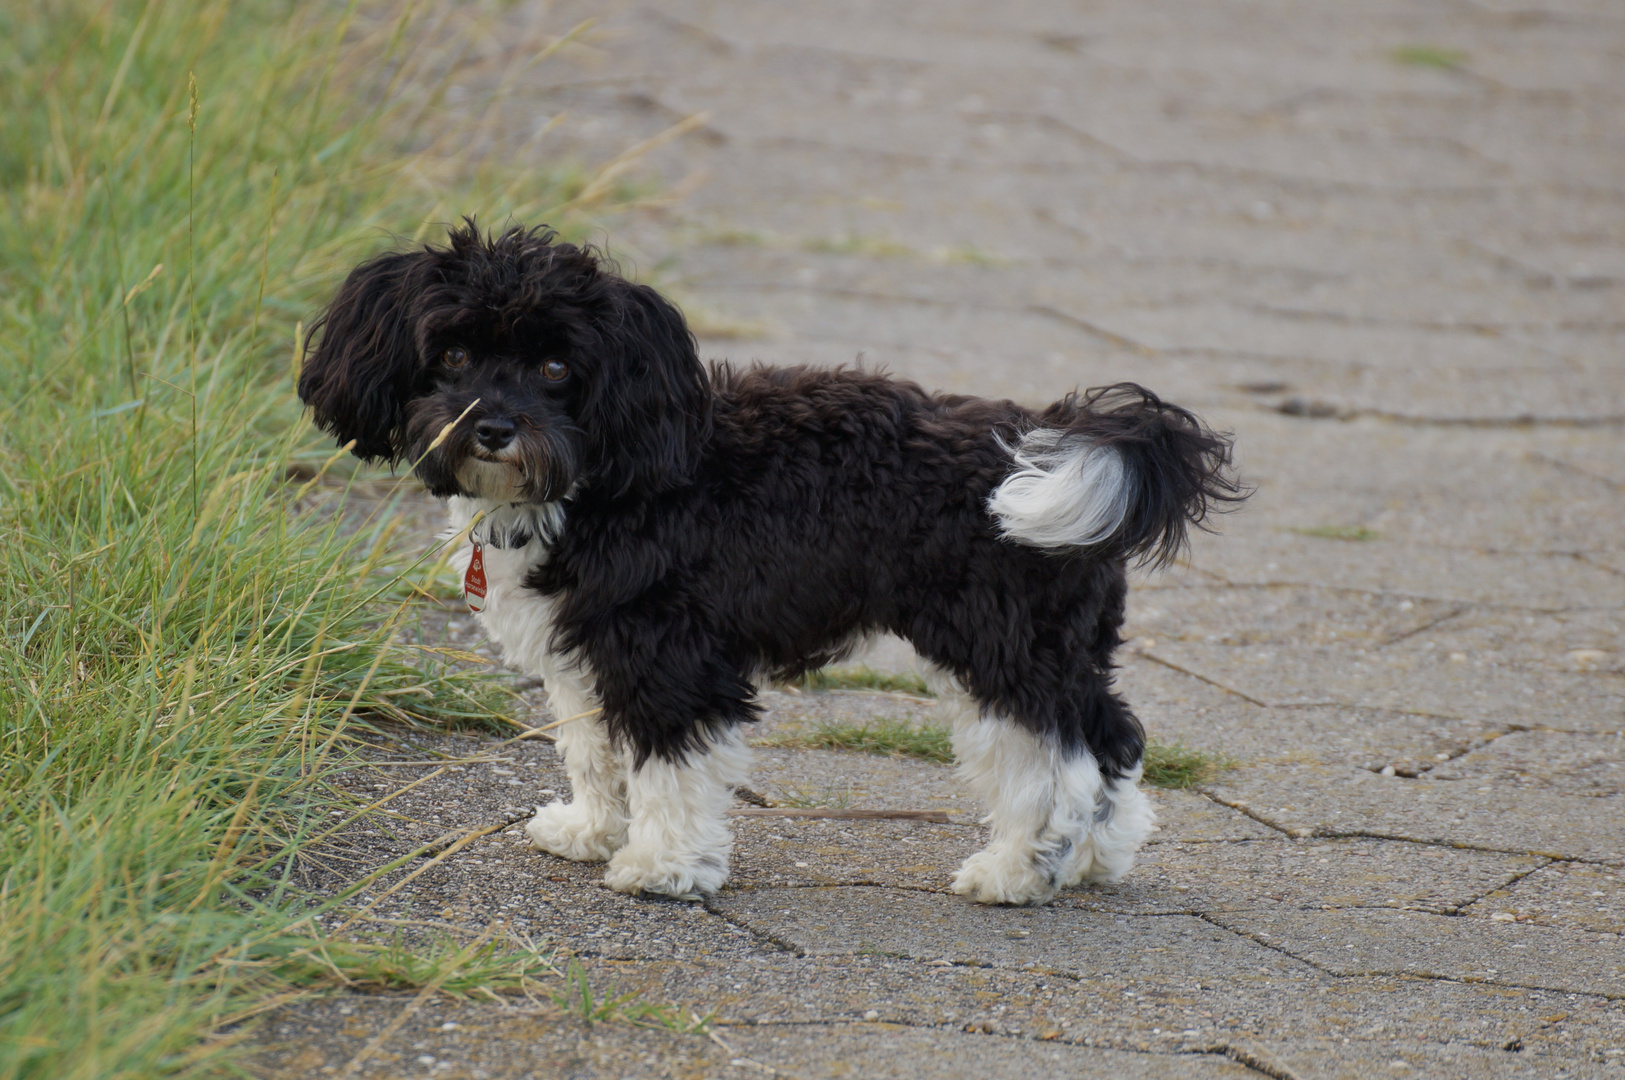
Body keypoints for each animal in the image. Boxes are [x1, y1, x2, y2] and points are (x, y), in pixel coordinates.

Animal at [302, 222, 1241, 902]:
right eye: (454, 354)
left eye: (557, 364)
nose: (492, 427)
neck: (607, 473)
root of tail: (1052, 438)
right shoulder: (586, 651)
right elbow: (593, 751)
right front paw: (590, 831)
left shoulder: (667, 651)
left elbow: (666, 764)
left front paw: (662, 867)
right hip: (1054, 643)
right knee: (1111, 735)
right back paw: (1094, 859)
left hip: (1000, 642)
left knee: (1058, 762)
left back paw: (1019, 871)